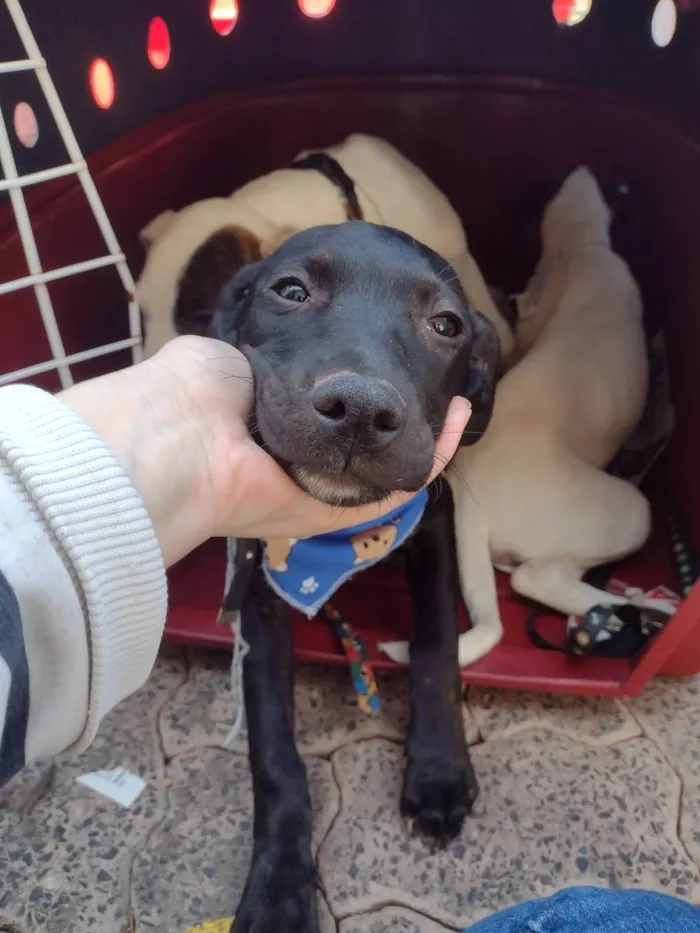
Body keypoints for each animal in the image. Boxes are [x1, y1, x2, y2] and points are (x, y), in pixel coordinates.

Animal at [209, 224, 498, 932]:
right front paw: (278, 890)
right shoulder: (260, 589)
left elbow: (436, 649)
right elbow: (274, 757)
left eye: (446, 324)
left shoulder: (435, 524)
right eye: (290, 291)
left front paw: (439, 770)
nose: (360, 411)